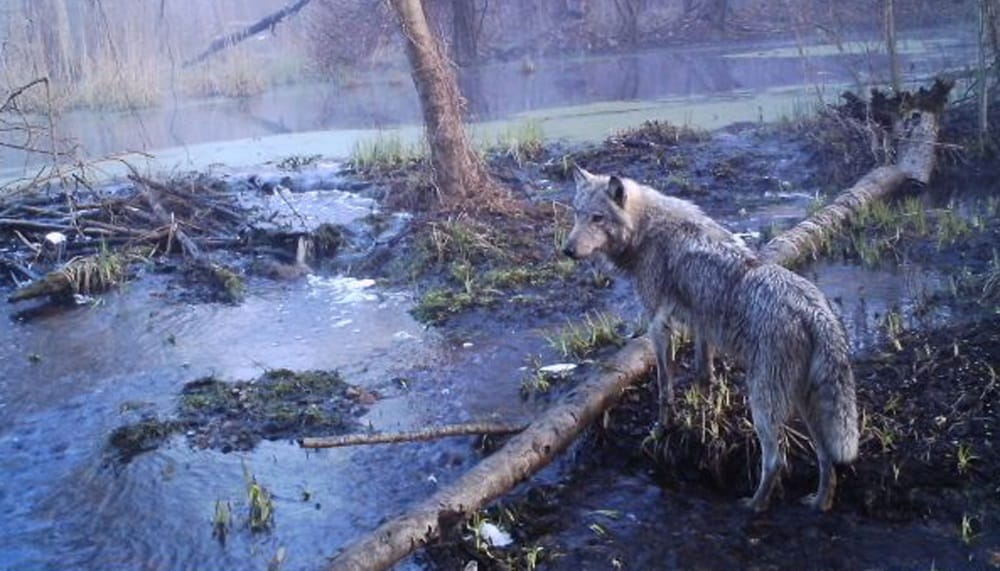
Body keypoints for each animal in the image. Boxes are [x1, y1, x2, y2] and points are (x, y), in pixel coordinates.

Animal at [564, 166, 860, 512]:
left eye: (597, 218)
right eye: (577, 214)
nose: (567, 250)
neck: (646, 230)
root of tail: (815, 311)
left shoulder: (659, 325)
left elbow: (665, 388)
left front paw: (662, 430)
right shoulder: (700, 324)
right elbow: (703, 375)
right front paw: (702, 418)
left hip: (763, 404)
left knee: (776, 461)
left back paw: (753, 506)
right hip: (804, 404)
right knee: (826, 458)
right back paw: (819, 503)